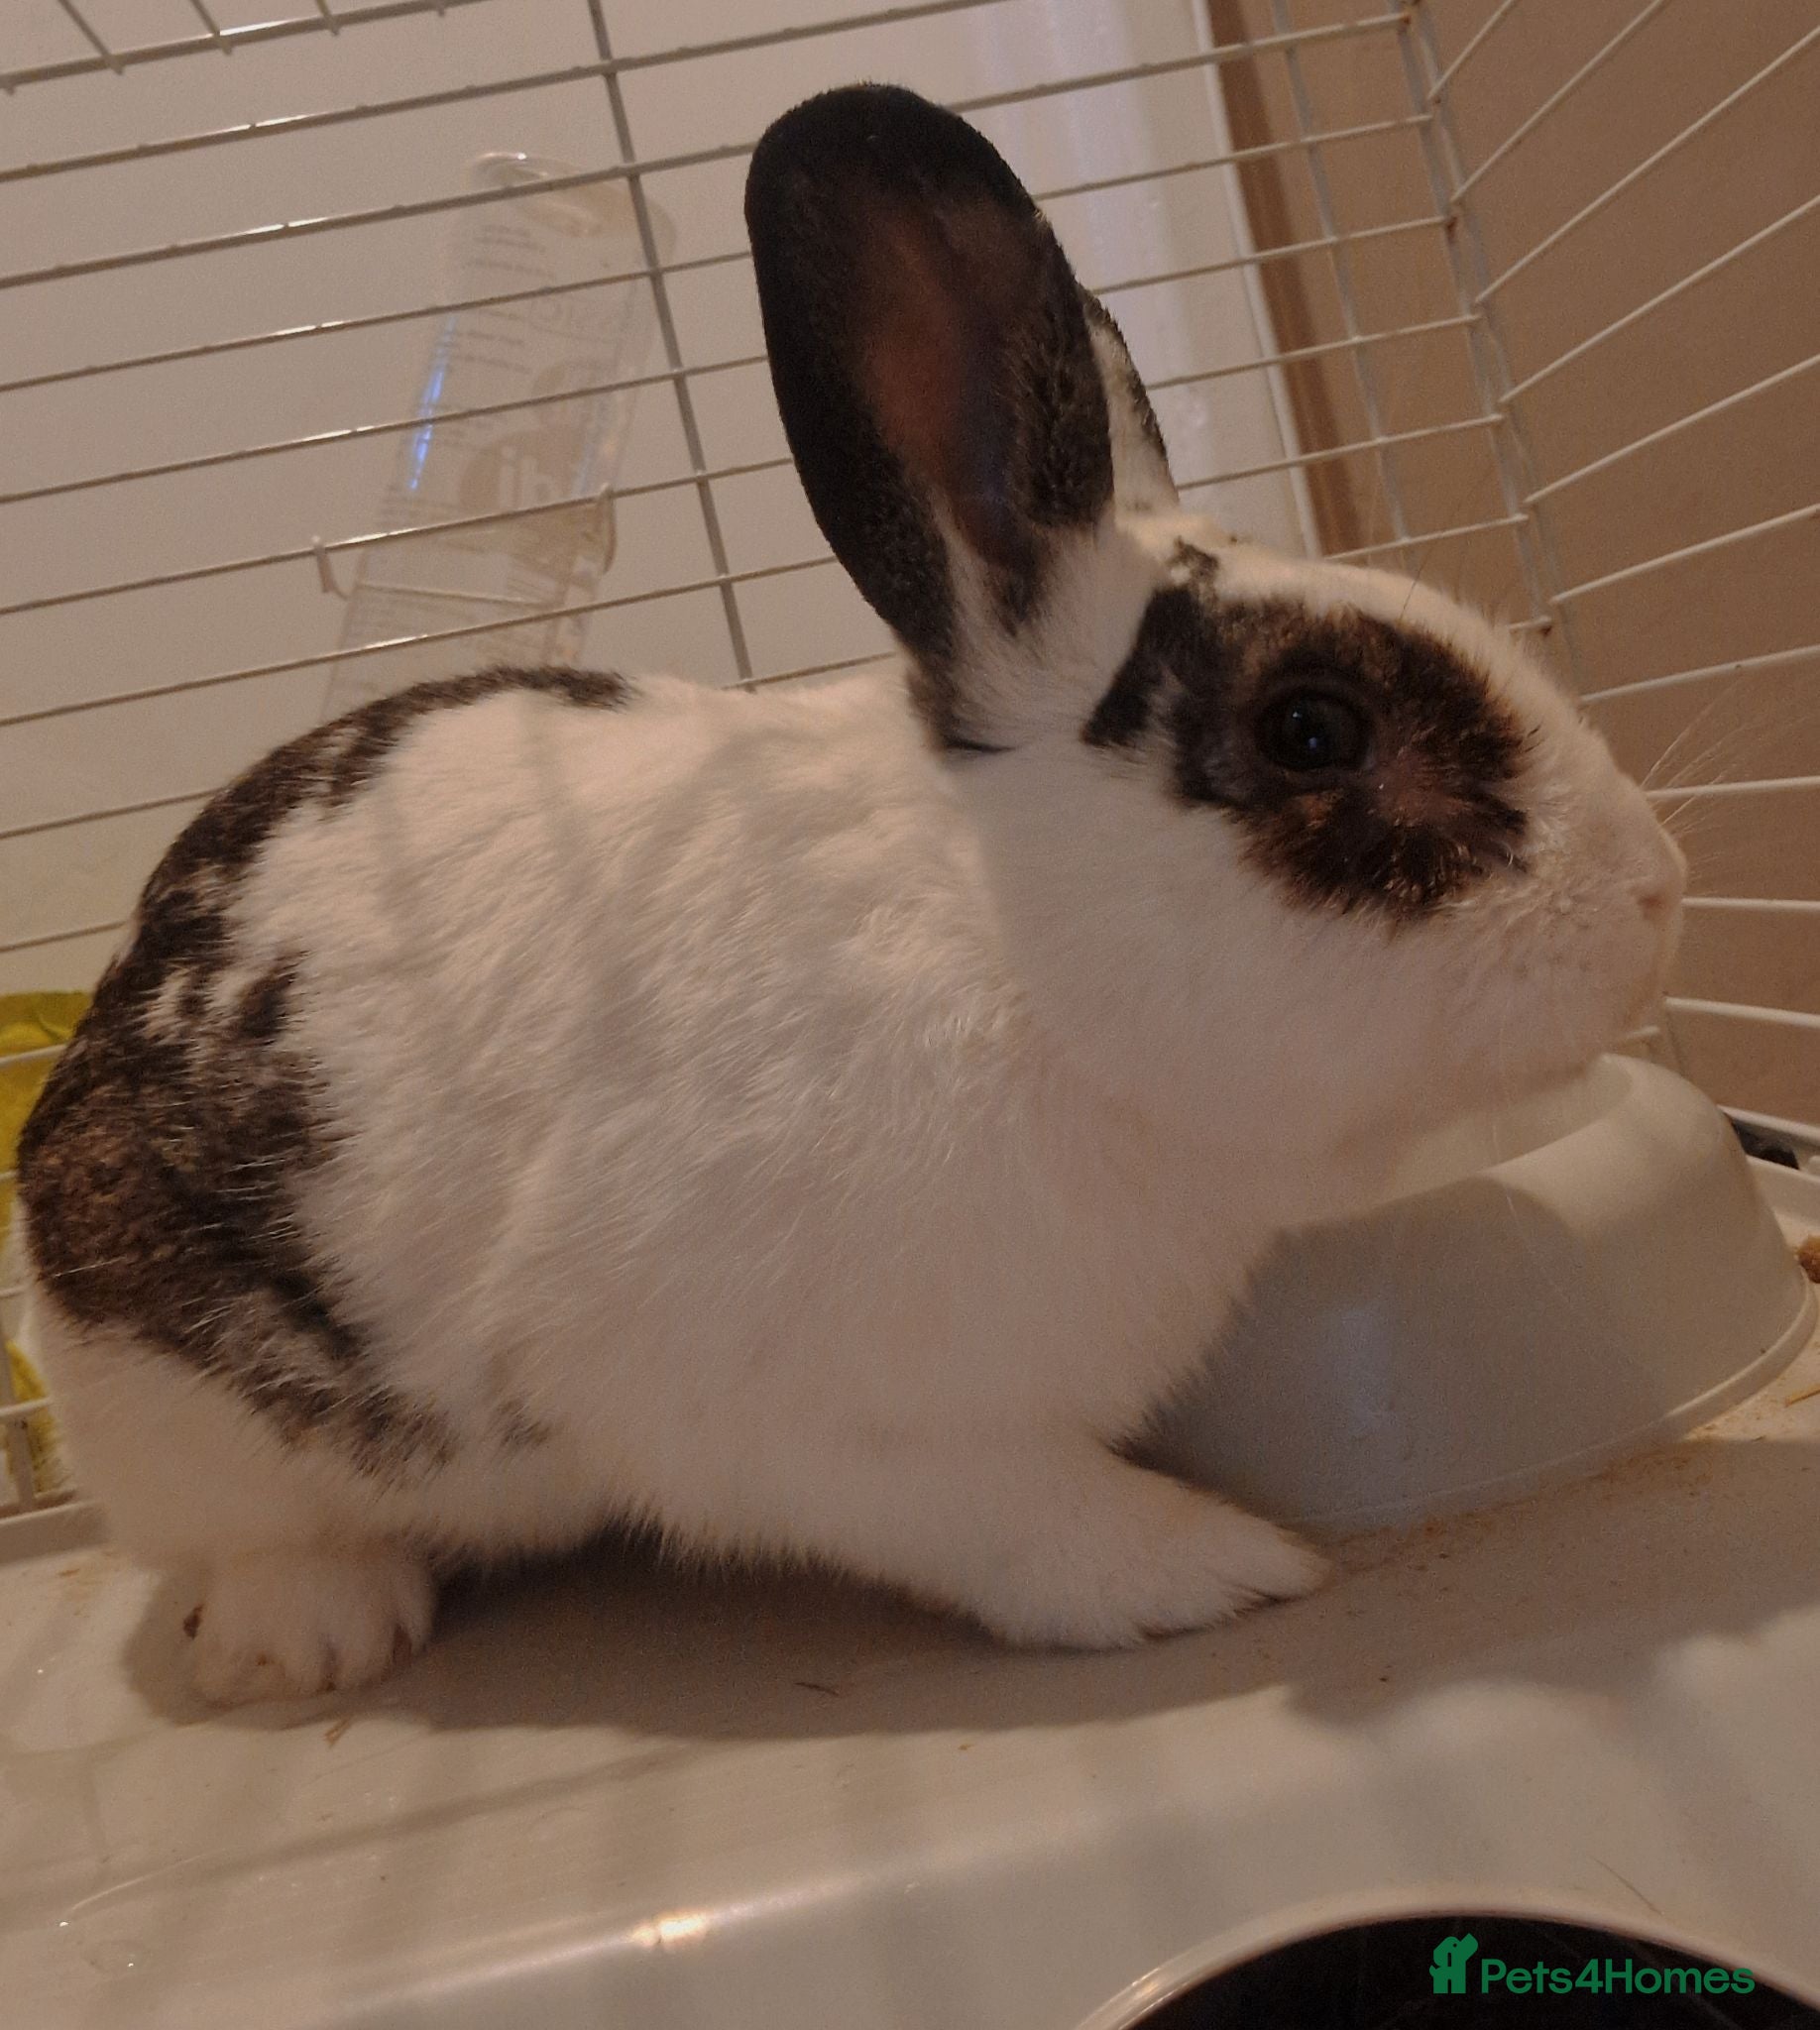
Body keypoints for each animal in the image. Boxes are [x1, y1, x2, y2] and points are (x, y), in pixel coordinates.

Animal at [14, 84, 1684, 1705]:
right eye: (1314, 732)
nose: (1657, 894)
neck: (1018, 962)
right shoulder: (813, 1426)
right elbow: (1018, 1518)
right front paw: (1213, 1566)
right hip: (171, 1416)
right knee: (249, 1540)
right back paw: (317, 1635)